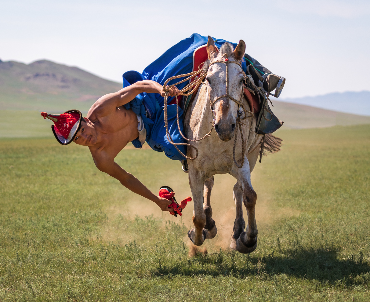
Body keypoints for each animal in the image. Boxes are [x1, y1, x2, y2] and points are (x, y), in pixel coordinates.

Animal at [184, 36, 278, 252]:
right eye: (208, 79)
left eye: (242, 80)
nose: (226, 126)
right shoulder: (194, 168)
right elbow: (198, 215)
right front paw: (198, 235)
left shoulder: (241, 162)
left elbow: (249, 196)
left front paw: (248, 239)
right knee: (209, 185)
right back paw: (210, 224)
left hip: (251, 156)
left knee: (237, 191)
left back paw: (236, 231)